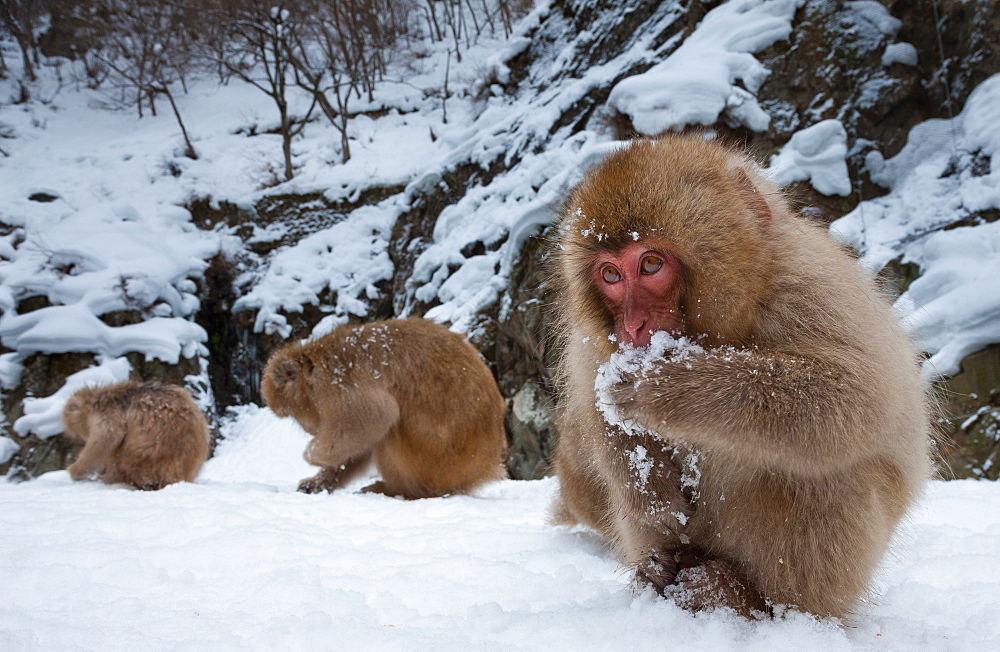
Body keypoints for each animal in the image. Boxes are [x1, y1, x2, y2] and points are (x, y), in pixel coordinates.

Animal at [262, 318, 508, 496]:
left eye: (288, 412)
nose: (308, 430)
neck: (317, 363)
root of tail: (484, 467)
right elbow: (361, 443)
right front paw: (320, 482)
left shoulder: (338, 382)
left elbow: (374, 418)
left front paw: (312, 455)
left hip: (434, 465)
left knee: (390, 429)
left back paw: (397, 490)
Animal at [552, 135, 932, 620]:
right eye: (611, 274)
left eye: (651, 264)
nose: (633, 327)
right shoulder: (592, 344)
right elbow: (595, 406)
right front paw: (651, 495)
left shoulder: (809, 284)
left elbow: (853, 396)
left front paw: (666, 388)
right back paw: (656, 572)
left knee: (830, 468)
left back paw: (746, 597)